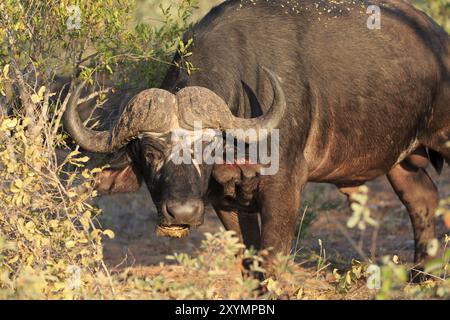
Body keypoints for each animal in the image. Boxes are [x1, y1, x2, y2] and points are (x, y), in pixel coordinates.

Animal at [64, 0, 450, 270]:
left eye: (207, 148)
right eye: (149, 153)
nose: (183, 212)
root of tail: (438, 39)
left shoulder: (283, 191)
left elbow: (272, 261)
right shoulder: (225, 202)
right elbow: (249, 261)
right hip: (401, 162)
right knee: (423, 199)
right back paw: (420, 275)